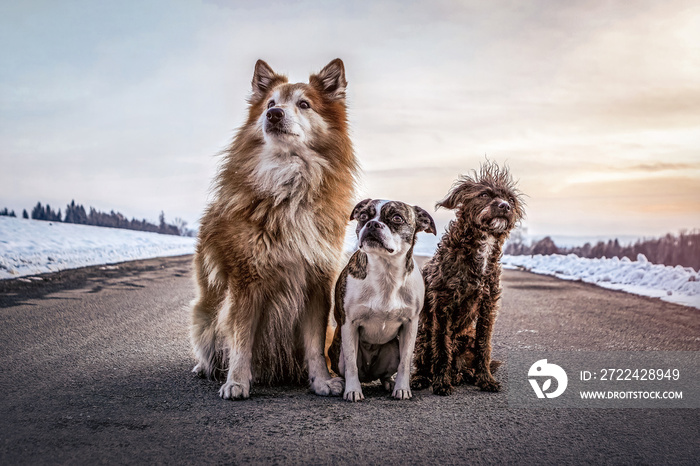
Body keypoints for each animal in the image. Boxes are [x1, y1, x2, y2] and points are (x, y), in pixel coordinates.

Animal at [190, 59, 356, 400]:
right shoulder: (246, 281)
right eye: (270, 103)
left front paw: (321, 380)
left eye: (304, 104)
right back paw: (204, 368)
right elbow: (241, 340)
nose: (274, 114)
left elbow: (315, 343)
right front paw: (237, 382)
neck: (289, 184)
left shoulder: (316, 282)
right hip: (203, 315)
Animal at [330, 198, 438, 400]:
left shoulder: (410, 325)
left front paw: (402, 388)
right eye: (363, 216)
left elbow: (405, 362)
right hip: (338, 354)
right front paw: (353, 390)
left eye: (397, 218)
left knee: (384, 374)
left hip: (393, 350)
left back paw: (390, 383)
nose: (372, 224)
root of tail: (368, 375)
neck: (386, 271)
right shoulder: (349, 324)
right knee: (347, 367)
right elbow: (351, 363)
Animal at [412, 162, 524, 396]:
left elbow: (484, 347)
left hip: (467, 338)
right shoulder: (442, 304)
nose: (504, 207)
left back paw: (464, 374)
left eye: (510, 199)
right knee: (424, 359)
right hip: (423, 334)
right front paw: (441, 383)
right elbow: (442, 348)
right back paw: (424, 378)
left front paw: (486, 379)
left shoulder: (487, 306)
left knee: (463, 365)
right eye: (484, 194)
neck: (482, 245)